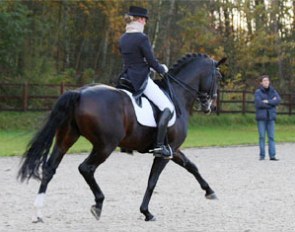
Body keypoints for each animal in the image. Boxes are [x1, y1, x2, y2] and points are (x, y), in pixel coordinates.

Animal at [17, 53, 227, 222]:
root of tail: (79, 92)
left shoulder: (173, 150)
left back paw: (38, 213)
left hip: (66, 139)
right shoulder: (165, 152)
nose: (211, 106)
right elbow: (152, 181)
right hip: (105, 146)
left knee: (50, 168)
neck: (177, 94)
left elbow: (191, 166)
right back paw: (98, 204)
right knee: (86, 168)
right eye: (218, 76)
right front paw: (146, 212)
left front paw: (210, 192)